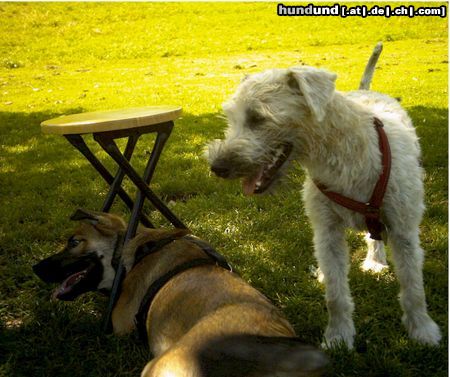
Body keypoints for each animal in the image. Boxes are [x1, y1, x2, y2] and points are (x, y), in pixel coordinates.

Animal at [206, 43, 442, 346]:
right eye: (231, 118)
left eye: (257, 117)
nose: (217, 167)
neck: (342, 154)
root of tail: (365, 90)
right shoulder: (326, 231)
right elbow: (335, 294)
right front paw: (338, 337)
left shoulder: (404, 229)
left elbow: (413, 287)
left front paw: (423, 331)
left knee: (376, 238)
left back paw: (376, 261)